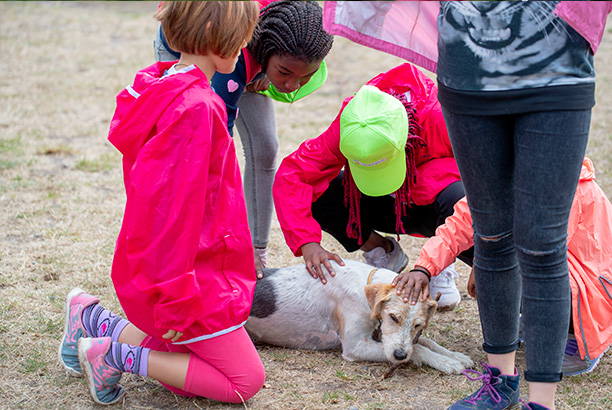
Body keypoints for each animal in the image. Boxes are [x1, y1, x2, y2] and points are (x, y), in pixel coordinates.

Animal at [245, 260, 474, 374]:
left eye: (418, 325)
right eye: (393, 317)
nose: (400, 356)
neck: (365, 285)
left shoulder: (381, 336)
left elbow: (426, 342)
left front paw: (455, 356)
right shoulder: (356, 347)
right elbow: (418, 349)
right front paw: (446, 363)